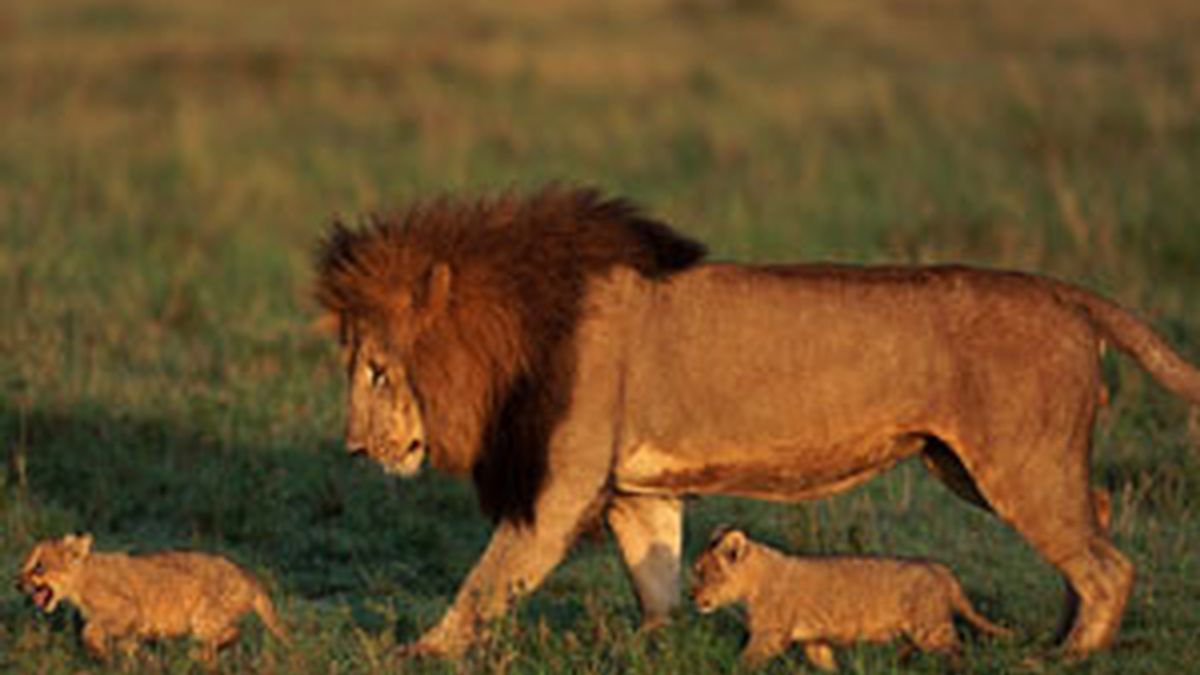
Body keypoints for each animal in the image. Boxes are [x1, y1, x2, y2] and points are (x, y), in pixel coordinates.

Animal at [312, 183, 1200, 658]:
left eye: (377, 370)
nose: (352, 447)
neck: (516, 329)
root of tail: (1065, 293)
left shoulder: (559, 487)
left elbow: (487, 578)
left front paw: (422, 649)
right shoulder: (635, 487)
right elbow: (654, 572)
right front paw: (657, 644)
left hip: (1014, 463)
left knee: (1107, 562)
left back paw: (1072, 653)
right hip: (969, 464)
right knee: (1100, 517)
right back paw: (1060, 629)